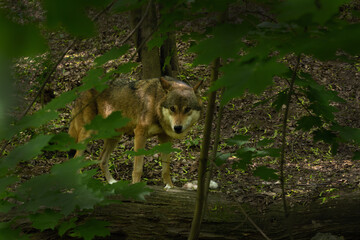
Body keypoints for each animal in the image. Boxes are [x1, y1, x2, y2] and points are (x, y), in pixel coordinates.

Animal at [68, 77, 202, 188]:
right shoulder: (140, 134)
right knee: (75, 159)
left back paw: (112, 183)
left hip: (115, 137)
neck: (156, 103)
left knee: (102, 160)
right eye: (172, 108)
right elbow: (138, 168)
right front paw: (136, 186)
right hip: (88, 135)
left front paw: (170, 187)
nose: (177, 128)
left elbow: (166, 169)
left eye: (187, 109)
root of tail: (81, 90)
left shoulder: (165, 138)